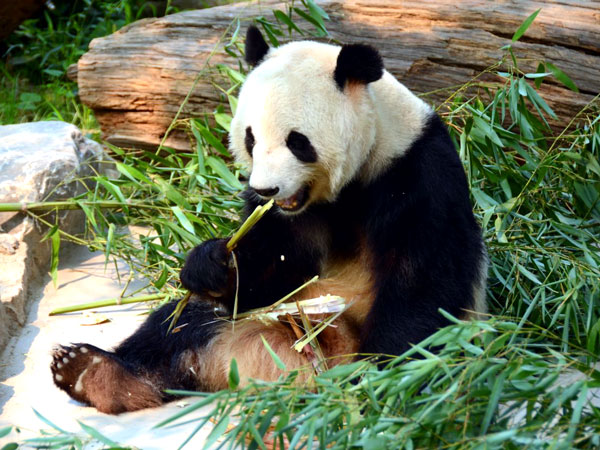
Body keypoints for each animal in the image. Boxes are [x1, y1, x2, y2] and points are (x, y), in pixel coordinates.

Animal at [49, 26, 486, 414]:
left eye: (298, 142)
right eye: (250, 138)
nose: (265, 189)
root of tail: (278, 368)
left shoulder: (417, 174)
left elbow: (421, 283)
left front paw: (381, 376)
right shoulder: (289, 219)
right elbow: (274, 265)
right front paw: (212, 263)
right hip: (251, 320)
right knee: (179, 325)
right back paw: (93, 373)